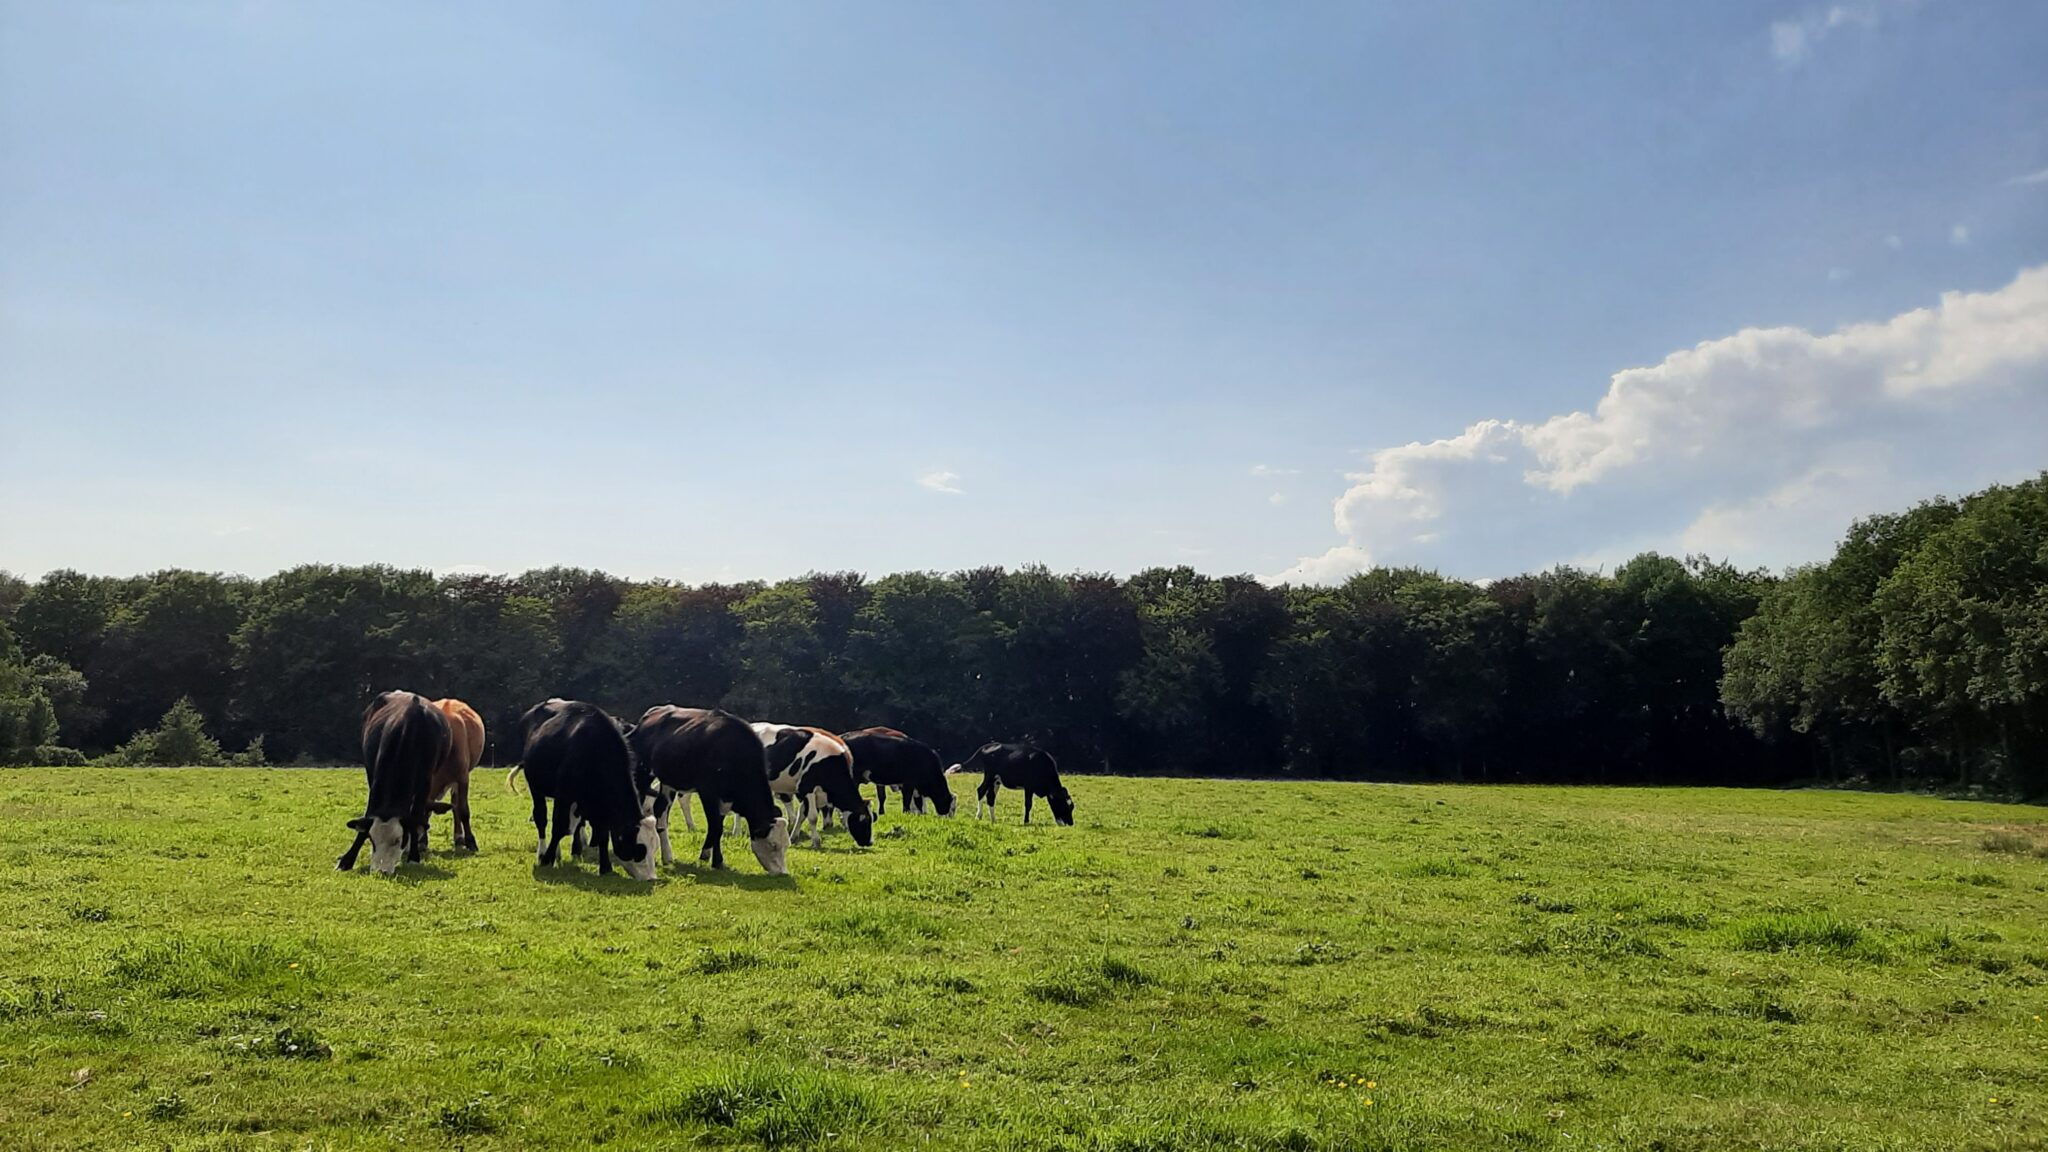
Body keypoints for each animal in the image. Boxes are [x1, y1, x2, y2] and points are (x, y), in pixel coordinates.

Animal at [337, 688, 450, 869]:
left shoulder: (425, 781)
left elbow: (415, 817)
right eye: (372, 839)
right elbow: (368, 813)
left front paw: (413, 856)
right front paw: (347, 859)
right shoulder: (375, 775)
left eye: (398, 840)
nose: (380, 870)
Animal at [512, 696, 655, 873]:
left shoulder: (596, 802)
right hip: (535, 786)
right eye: (640, 850)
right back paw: (542, 852)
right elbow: (559, 827)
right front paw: (547, 858)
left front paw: (605, 867)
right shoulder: (564, 795)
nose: (651, 877)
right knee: (541, 818)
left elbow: (602, 832)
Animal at [626, 701, 786, 869]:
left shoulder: (724, 798)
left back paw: (667, 856)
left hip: (668, 781)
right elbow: (715, 826)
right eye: (773, 845)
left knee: (660, 810)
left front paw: (715, 859)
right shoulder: (707, 792)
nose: (782, 872)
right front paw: (708, 857)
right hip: (642, 772)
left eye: (786, 846)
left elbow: (718, 827)